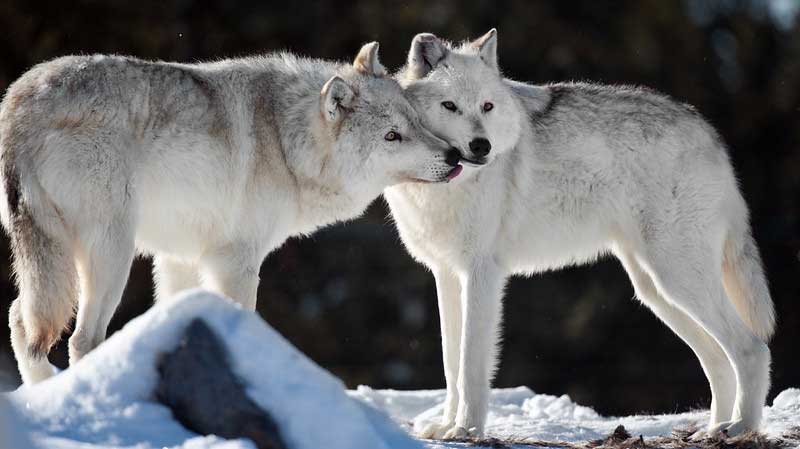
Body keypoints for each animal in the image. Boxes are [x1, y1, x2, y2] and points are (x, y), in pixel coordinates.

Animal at [1, 43, 462, 382]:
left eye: (416, 123)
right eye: (392, 136)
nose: (456, 156)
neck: (286, 141)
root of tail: (20, 106)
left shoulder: (180, 258)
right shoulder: (236, 261)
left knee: (20, 319)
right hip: (112, 255)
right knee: (80, 339)